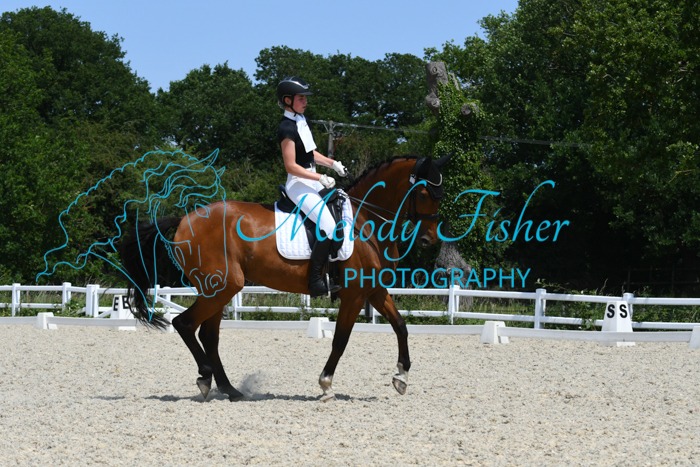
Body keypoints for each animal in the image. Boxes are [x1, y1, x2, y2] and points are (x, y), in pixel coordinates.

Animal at [119, 154, 451, 401]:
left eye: (440, 195)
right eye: (424, 193)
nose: (429, 239)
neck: (366, 221)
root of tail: (184, 221)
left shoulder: (375, 291)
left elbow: (401, 327)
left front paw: (401, 377)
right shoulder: (355, 296)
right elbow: (340, 340)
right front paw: (326, 384)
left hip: (219, 290)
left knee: (208, 335)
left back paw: (229, 389)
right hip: (223, 287)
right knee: (185, 324)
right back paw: (206, 377)